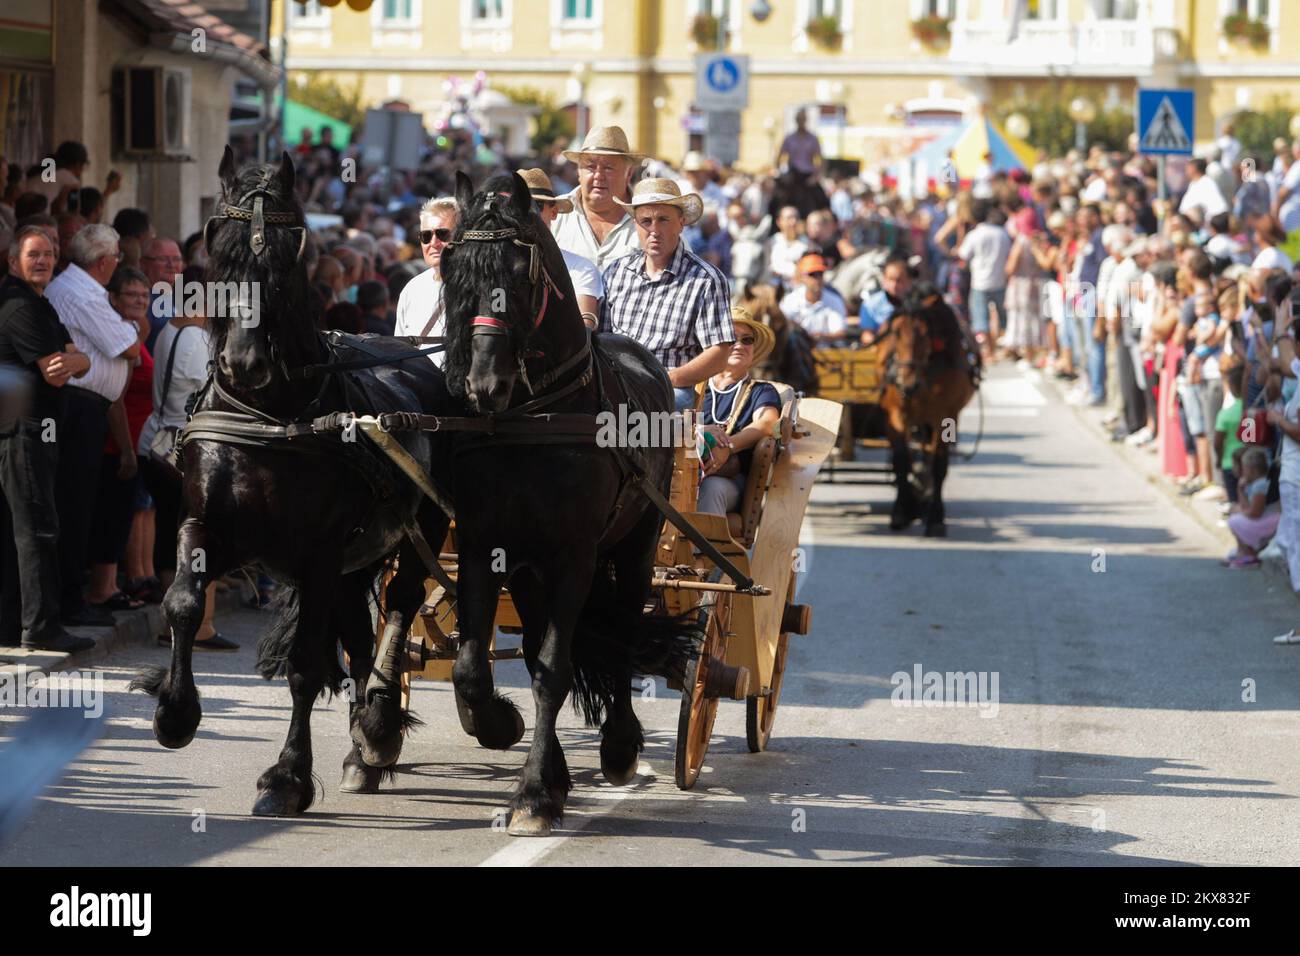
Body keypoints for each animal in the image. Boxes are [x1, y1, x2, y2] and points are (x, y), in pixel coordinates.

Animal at [131, 147, 454, 816]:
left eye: (286, 252)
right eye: (220, 247)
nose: (244, 363)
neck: (269, 415)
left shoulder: (319, 554)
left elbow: (306, 665)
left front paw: (287, 777)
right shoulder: (203, 523)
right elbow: (182, 602)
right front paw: (174, 712)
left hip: (418, 533)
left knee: (400, 606)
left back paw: (378, 728)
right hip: (358, 558)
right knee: (359, 633)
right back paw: (363, 746)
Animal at [439, 171, 702, 837]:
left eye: (520, 274)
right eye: (453, 271)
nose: (483, 385)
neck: (532, 421)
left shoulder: (576, 557)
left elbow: (556, 669)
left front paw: (532, 796)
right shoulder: (484, 546)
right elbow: (474, 665)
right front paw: (500, 727)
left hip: (637, 543)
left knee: (625, 628)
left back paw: (619, 745)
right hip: (532, 569)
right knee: (535, 644)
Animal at [878, 283, 977, 538]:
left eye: (924, 334)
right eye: (895, 332)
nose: (907, 383)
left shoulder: (945, 416)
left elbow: (938, 464)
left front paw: (935, 518)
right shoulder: (895, 414)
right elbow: (901, 460)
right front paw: (901, 511)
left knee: (929, 456)